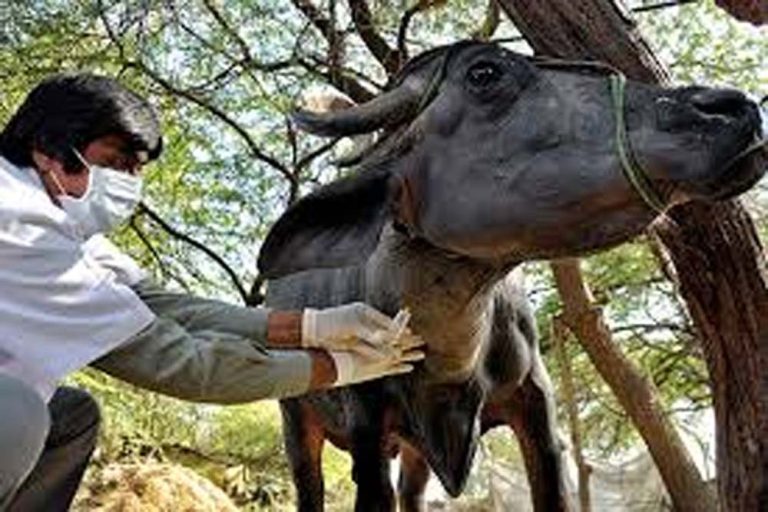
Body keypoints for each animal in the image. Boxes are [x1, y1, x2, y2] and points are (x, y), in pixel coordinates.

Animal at [255, 43, 764, 512]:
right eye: (484, 72)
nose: (730, 107)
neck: (449, 361)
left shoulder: (538, 411)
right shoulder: (366, 426)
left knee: (412, 494)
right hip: (296, 423)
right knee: (310, 486)